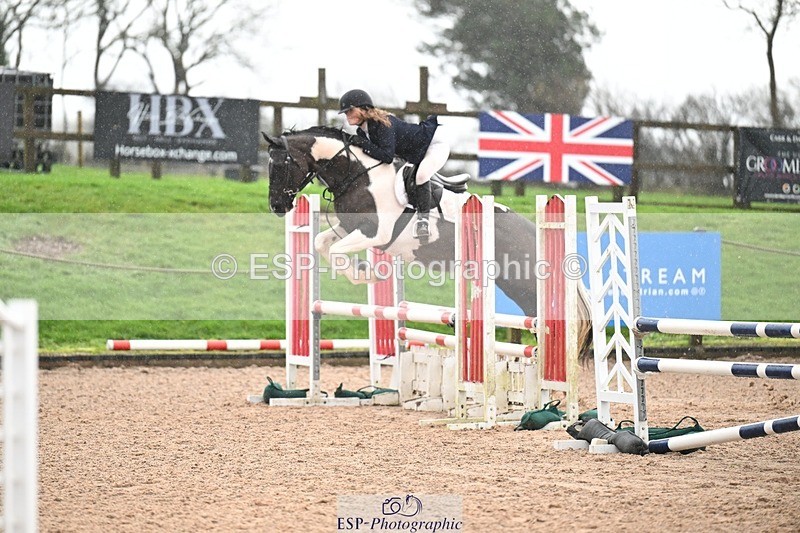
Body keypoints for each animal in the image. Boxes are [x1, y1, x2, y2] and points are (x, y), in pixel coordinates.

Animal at [262, 126, 593, 361]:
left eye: (281, 165)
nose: (277, 206)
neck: (359, 176)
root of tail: (534, 232)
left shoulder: (376, 233)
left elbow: (338, 251)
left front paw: (367, 274)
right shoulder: (349, 228)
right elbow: (322, 243)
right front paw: (365, 272)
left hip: (523, 284)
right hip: (511, 283)